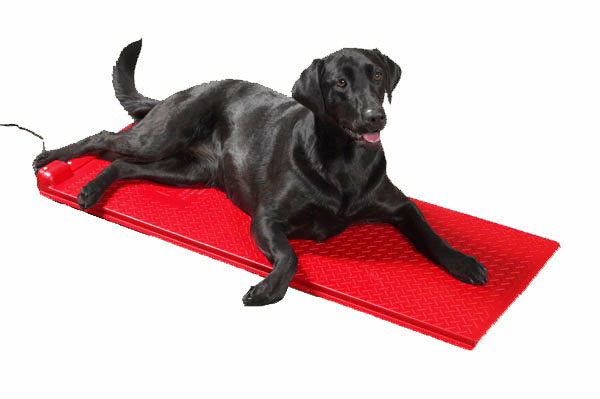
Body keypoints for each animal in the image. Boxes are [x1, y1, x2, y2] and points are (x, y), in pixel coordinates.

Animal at [34, 40, 488, 304]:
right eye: (340, 83)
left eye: (376, 74)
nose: (375, 117)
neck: (345, 162)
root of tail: (180, 91)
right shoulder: (266, 219)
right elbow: (289, 257)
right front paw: (268, 288)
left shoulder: (400, 205)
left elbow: (430, 234)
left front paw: (463, 262)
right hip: (162, 135)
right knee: (105, 138)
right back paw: (52, 160)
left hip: (186, 171)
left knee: (121, 164)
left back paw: (91, 188)